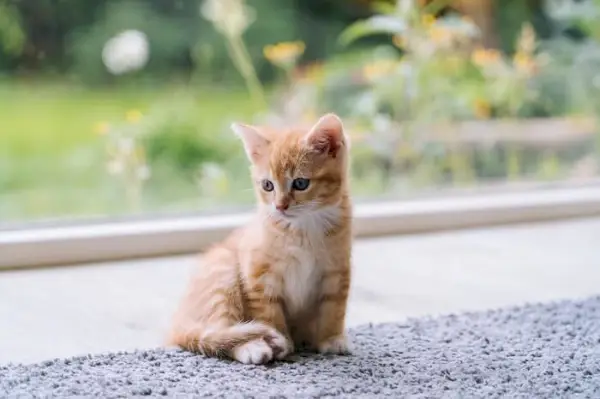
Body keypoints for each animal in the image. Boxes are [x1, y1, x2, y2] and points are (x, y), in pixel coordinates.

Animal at [166, 113, 354, 366]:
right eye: (268, 185)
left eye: (300, 183)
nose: (280, 206)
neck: (303, 229)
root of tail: (178, 320)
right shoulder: (258, 273)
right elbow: (269, 311)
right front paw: (281, 341)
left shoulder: (337, 269)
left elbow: (334, 307)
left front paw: (331, 338)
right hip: (222, 273)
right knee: (217, 331)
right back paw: (252, 347)